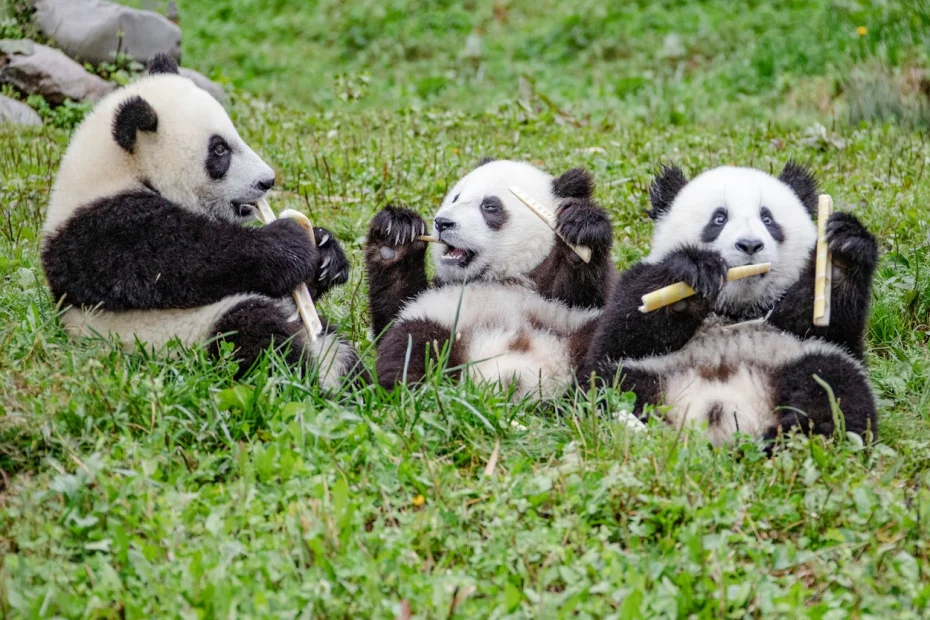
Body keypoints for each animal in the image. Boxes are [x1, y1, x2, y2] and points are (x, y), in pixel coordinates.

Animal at [44, 53, 362, 386]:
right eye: (219, 150)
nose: (267, 181)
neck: (119, 172)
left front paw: (326, 254)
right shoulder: (105, 230)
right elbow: (186, 263)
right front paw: (289, 243)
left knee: (336, 345)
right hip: (180, 334)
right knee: (255, 334)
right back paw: (308, 378)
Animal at [364, 160, 616, 400]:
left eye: (490, 206)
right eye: (455, 197)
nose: (442, 222)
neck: (501, 276)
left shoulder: (562, 295)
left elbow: (594, 292)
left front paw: (580, 231)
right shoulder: (433, 293)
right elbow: (392, 315)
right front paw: (396, 233)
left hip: (572, 331)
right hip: (441, 325)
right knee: (410, 343)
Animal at [580, 161, 876, 446]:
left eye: (767, 218)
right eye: (719, 218)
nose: (750, 245)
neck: (734, 309)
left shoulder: (799, 325)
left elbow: (832, 328)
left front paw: (844, 250)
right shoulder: (630, 299)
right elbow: (618, 335)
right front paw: (692, 273)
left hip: (793, 360)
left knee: (833, 385)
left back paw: (800, 434)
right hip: (648, 373)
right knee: (603, 388)